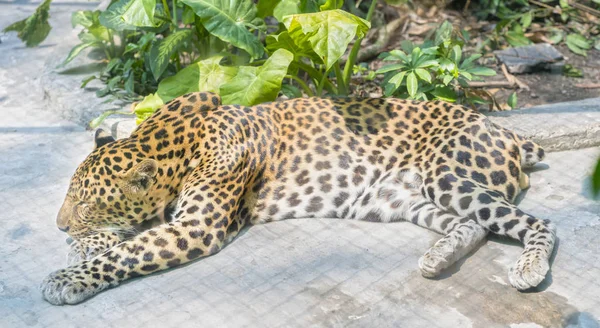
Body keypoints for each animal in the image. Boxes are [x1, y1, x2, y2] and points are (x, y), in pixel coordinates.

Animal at [42, 91, 556, 304]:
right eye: (69, 196)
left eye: (86, 203)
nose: (59, 224)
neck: (177, 140)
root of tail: (504, 129)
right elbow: (127, 236)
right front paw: (82, 245)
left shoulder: (195, 228)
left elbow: (130, 251)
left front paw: (69, 276)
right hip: (404, 197)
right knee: (474, 225)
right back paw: (439, 257)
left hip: (449, 175)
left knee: (537, 223)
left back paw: (529, 268)